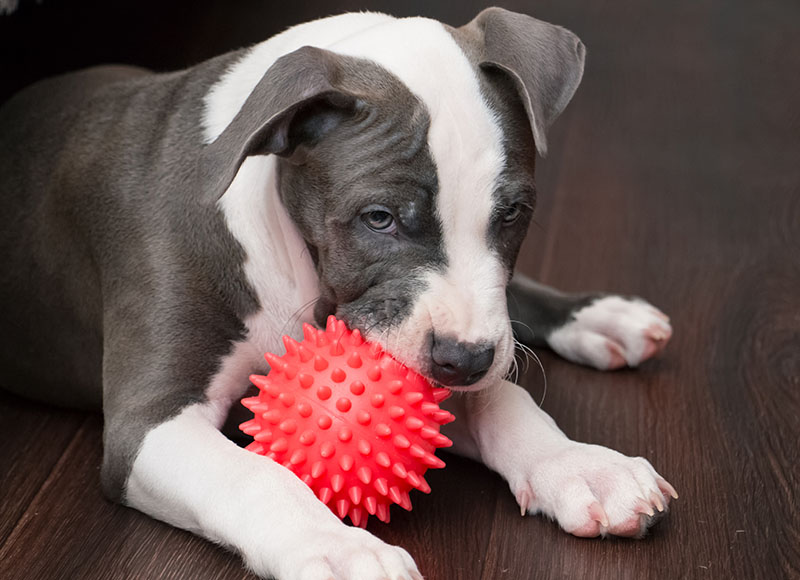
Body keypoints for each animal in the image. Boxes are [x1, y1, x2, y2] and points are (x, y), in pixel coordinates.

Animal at [0, 9, 676, 580]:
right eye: (378, 218)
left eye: (512, 214)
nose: (464, 362)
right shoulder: (148, 423)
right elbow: (255, 478)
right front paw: (339, 548)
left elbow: (501, 399)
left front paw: (582, 465)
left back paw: (599, 316)